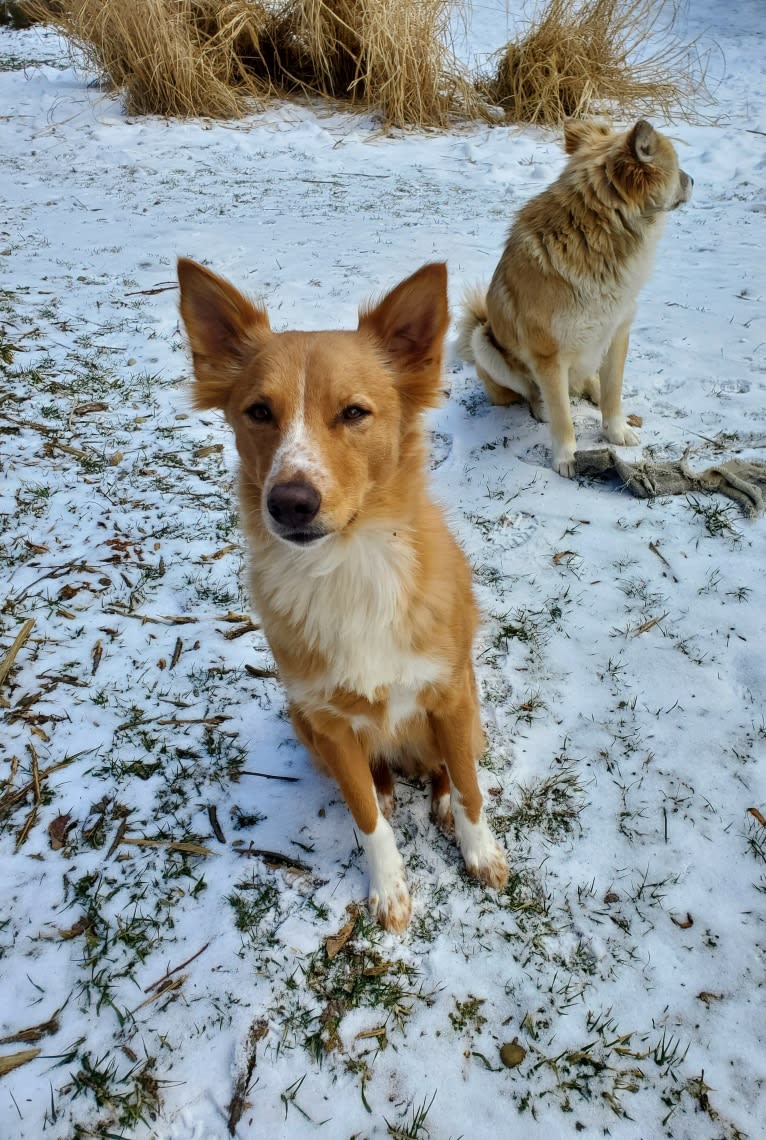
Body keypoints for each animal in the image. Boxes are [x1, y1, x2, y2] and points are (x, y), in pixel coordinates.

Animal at [178, 261, 508, 934]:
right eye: (258, 411)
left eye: (355, 413)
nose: (290, 503)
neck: (347, 566)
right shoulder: (327, 722)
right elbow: (367, 820)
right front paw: (388, 888)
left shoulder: (451, 693)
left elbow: (469, 786)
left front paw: (480, 851)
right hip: (301, 720)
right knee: (373, 779)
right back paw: (384, 784)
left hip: (467, 707)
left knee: (449, 766)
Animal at [458, 115, 693, 471]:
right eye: (677, 166)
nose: (692, 180)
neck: (596, 236)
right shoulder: (549, 357)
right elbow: (562, 416)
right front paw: (566, 456)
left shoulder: (617, 333)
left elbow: (613, 391)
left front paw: (616, 430)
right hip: (483, 342)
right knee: (533, 392)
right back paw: (541, 406)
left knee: (588, 383)